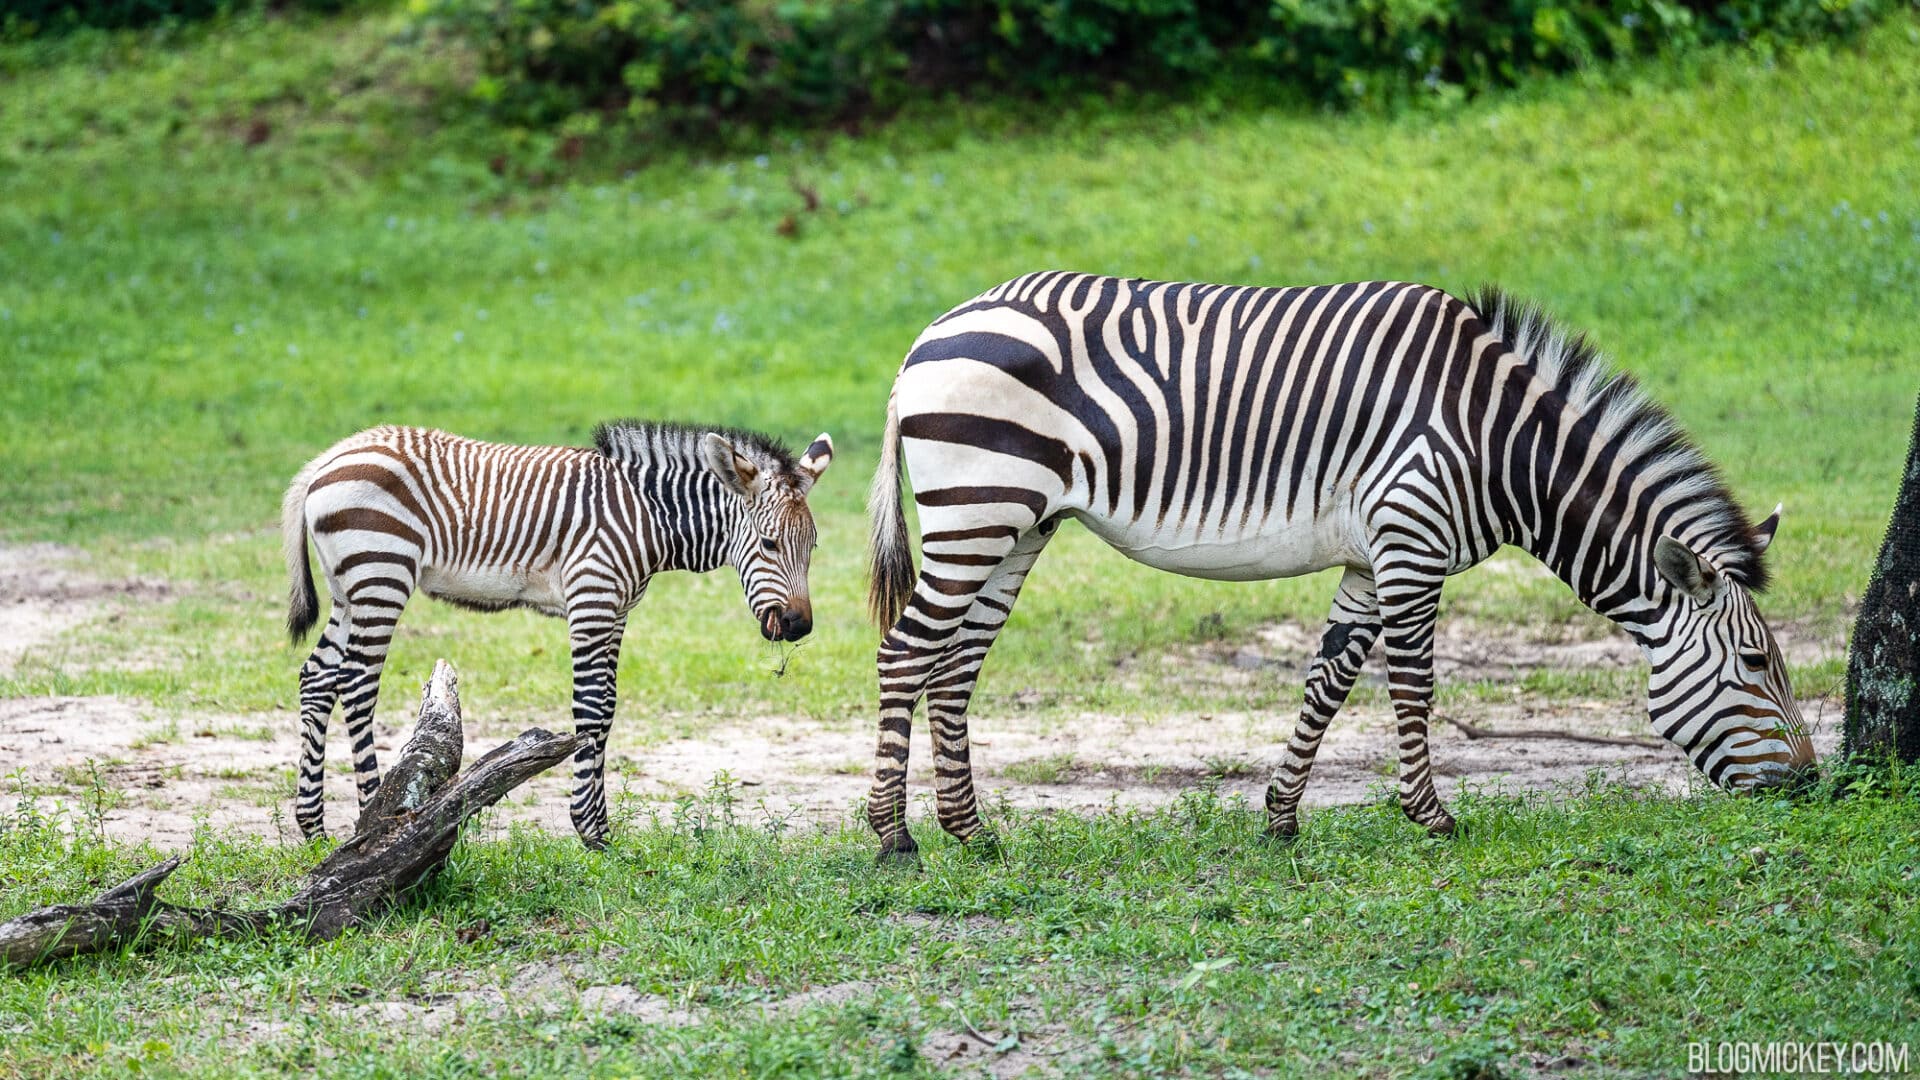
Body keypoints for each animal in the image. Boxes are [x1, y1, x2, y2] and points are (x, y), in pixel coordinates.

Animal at [282, 421, 833, 849]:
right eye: (769, 543)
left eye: (813, 546)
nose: (799, 625)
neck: (650, 516)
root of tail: (329, 457)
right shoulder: (592, 600)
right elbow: (589, 709)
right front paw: (590, 829)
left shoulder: (617, 611)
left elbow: (607, 709)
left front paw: (601, 828)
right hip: (382, 576)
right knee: (357, 686)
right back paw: (374, 813)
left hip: (350, 590)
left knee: (317, 679)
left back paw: (314, 828)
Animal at [864, 271, 1814, 860]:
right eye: (1757, 664)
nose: (1813, 786)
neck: (1501, 445)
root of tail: (927, 335)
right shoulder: (1412, 539)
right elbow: (1415, 685)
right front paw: (1432, 817)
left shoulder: (1370, 556)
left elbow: (1329, 681)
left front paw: (1281, 817)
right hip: (978, 508)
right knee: (905, 654)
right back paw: (894, 838)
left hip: (1017, 524)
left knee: (954, 668)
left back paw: (970, 832)